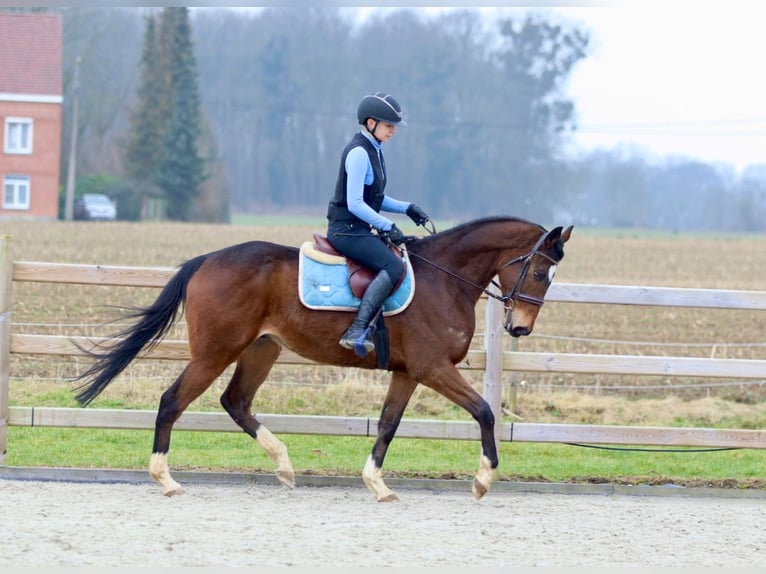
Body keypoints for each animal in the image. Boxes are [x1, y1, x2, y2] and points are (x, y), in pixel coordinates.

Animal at [75, 217, 572, 504]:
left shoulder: (409, 373)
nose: (520, 329)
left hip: (262, 349)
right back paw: (166, 478)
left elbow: (388, 424)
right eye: (539, 271)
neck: (445, 279)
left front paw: (377, 483)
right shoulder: (433, 368)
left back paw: (284, 466)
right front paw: (483, 479)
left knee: (236, 402)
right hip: (216, 351)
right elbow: (485, 411)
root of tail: (208, 259)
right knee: (172, 401)